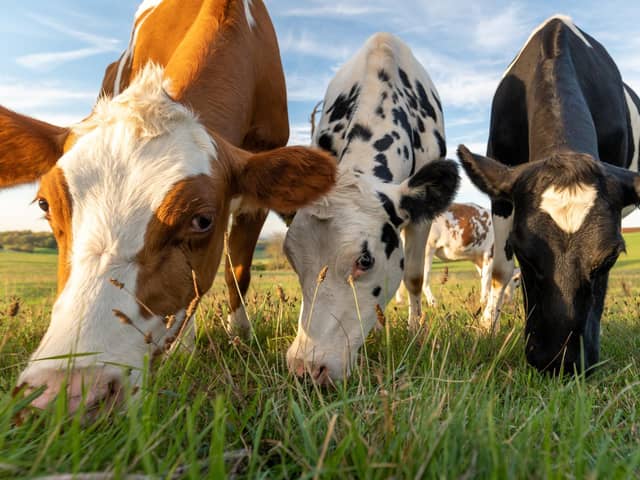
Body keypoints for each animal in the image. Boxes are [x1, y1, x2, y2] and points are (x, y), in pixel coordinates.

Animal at [0, 0, 336, 413]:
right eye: (46, 204)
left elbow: (236, 271)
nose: (64, 394)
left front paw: (240, 336)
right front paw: (185, 349)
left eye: (202, 219)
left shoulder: (258, 178)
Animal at [283, 33, 460, 384]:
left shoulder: (421, 217)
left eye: (365, 260)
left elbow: (414, 276)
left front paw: (416, 334)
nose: (306, 367)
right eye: (292, 259)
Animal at [457, 15, 640, 374]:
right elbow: (500, 271)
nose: (560, 361)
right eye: (523, 253)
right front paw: (487, 329)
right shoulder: (502, 193)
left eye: (611, 257)